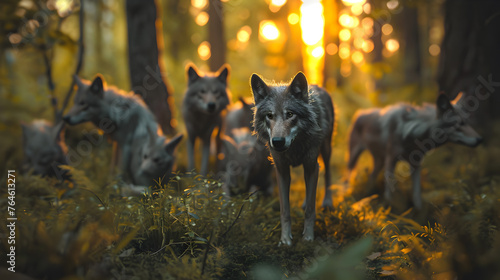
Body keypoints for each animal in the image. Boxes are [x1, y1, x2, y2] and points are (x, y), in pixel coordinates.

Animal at [250, 71, 336, 245]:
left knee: (328, 174)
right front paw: (285, 240)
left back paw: (327, 202)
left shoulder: (311, 167)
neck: (294, 147)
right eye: (269, 116)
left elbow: (310, 209)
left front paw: (308, 238)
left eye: (290, 114)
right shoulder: (282, 171)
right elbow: (285, 210)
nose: (277, 142)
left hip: (326, 150)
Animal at [346, 93, 482, 209]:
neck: (410, 133)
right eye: (460, 124)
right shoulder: (391, 161)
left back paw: (368, 194)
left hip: (379, 162)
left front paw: (418, 215)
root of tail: (359, 112)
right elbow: (389, 192)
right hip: (354, 159)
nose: (480, 139)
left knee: (371, 176)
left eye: (467, 123)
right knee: (349, 176)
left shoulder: (416, 164)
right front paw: (389, 209)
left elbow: (416, 196)